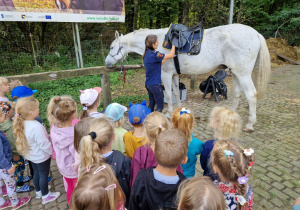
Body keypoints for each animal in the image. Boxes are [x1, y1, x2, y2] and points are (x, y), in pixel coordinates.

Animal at [106, 23, 272, 131]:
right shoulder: (174, 74)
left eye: (112, 47)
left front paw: (167, 113)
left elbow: (167, 94)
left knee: (251, 94)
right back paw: (230, 114)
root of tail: (255, 33)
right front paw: (179, 110)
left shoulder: (166, 74)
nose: (107, 63)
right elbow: (175, 92)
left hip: (243, 73)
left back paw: (250, 124)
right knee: (238, 93)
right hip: (236, 72)